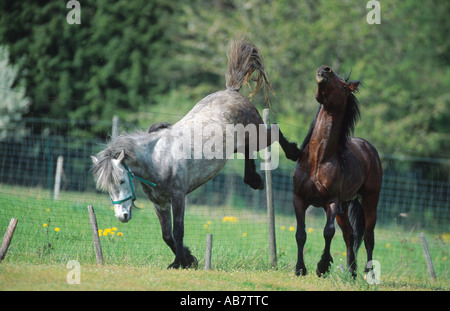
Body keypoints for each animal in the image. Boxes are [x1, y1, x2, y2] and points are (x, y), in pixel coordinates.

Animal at [91, 37, 298, 270]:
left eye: (122, 181)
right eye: (106, 187)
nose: (122, 216)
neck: (157, 158)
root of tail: (232, 92)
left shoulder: (178, 197)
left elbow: (178, 232)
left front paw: (181, 262)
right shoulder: (160, 203)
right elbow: (167, 236)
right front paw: (188, 259)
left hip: (257, 135)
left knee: (275, 131)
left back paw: (293, 153)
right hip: (240, 143)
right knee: (248, 152)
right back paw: (254, 180)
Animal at [292, 65, 384, 278]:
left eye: (343, 85)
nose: (324, 69)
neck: (318, 159)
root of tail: (369, 148)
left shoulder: (331, 202)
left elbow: (328, 232)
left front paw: (322, 266)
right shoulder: (299, 199)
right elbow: (301, 234)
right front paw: (300, 268)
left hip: (369, 201)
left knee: (368, 237)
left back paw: (369, 273)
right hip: (345, 206)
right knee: (350, 235)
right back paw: (351, 273)